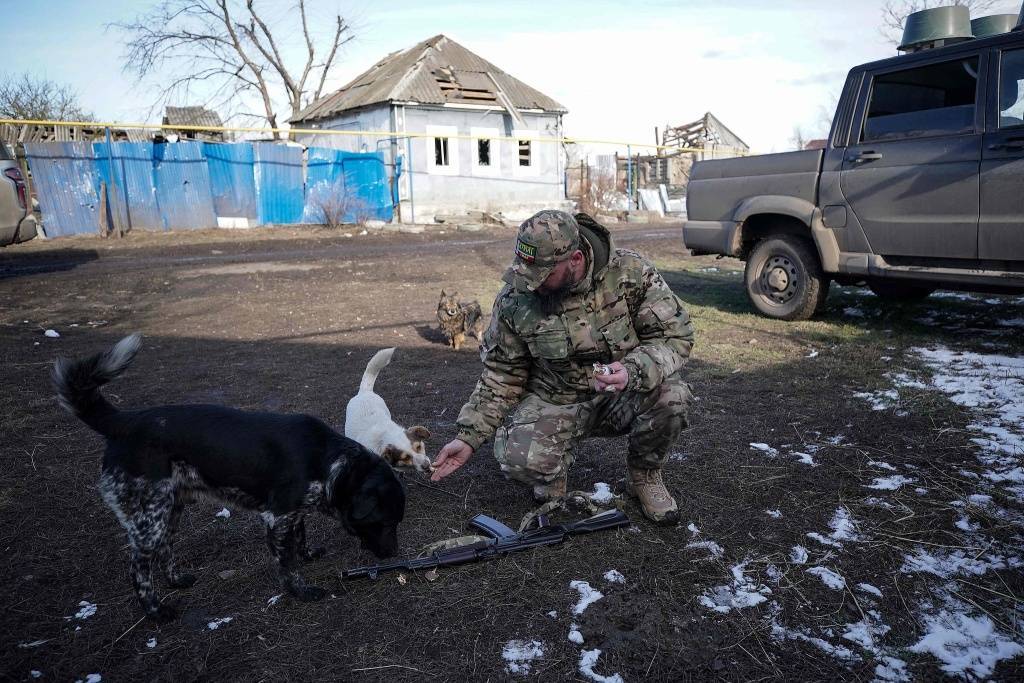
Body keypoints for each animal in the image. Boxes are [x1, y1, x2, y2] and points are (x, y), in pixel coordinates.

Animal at [52, 333, 403, 622]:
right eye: (385, 522)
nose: (394, 555)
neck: (328, 461)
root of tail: (123, 422)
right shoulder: (277, 517)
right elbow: (287, 565)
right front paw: (301, 591)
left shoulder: (293, 511)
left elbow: (300, 538)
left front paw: (307, 555)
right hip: (149, 519)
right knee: (138, 567)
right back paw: (156, 611)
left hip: (170, 508)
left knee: (165, 549)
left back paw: (177, 581)